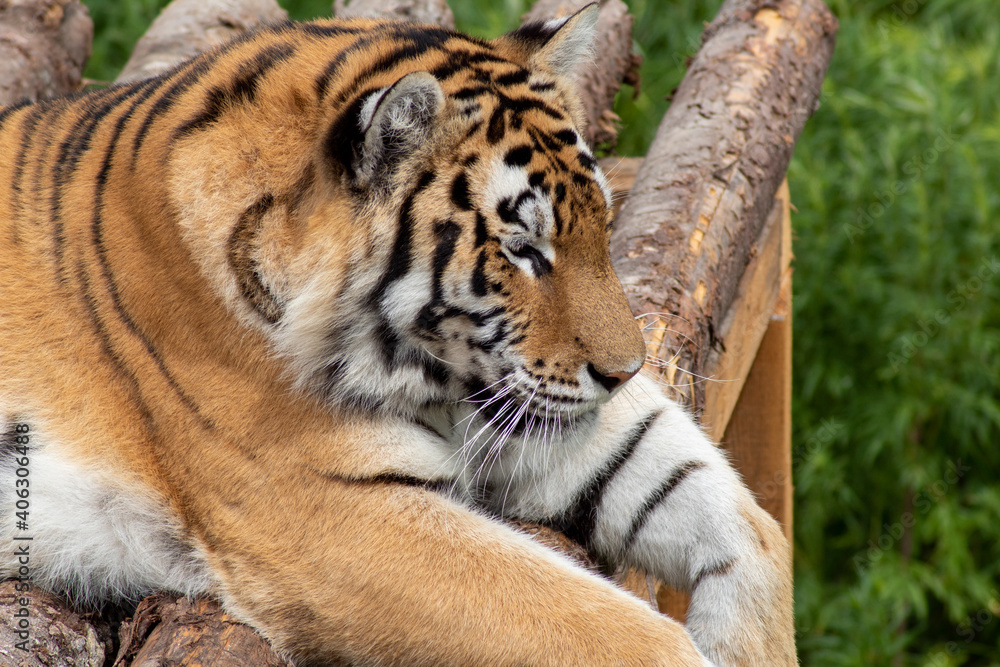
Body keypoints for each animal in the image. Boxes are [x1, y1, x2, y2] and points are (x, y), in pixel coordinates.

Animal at [0, 6, 796, 665]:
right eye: (523, 250)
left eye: (601, 225)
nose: (625, 371)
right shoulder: (327, 514)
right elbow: (620, 633)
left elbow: (754, 531)